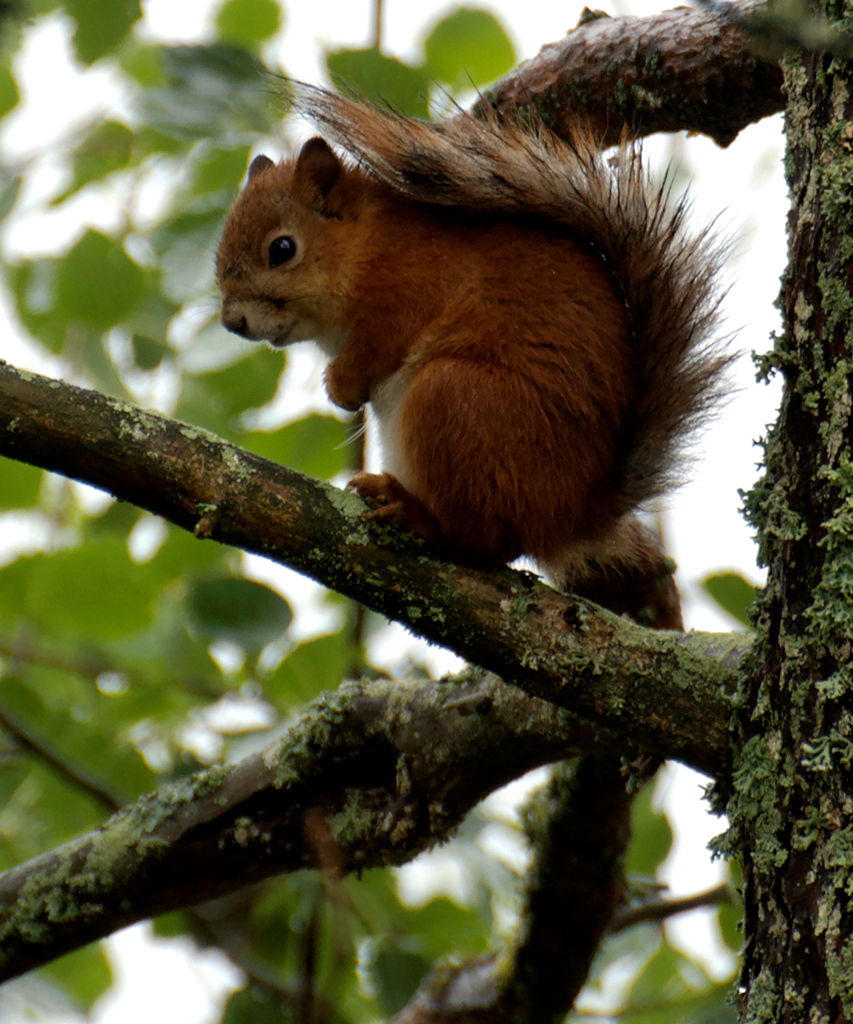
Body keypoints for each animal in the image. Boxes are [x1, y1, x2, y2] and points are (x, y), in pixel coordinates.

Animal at [216, 85, 730, 628]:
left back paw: (417, 517)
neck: (367, 245)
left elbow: (379, 345)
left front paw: (342, 386)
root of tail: (569, 514)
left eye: (282, 249)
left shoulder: (410, 292)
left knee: (483, 543)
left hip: (450, 398)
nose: (232, 321)